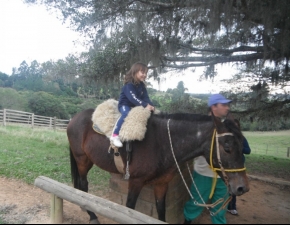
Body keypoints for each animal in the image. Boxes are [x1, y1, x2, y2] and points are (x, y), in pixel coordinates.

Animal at [67, 108, 249, 222]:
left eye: (243, 147)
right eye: (227, 148)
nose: (242, 187)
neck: (161, 142)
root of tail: (74, 118)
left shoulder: (162, 184)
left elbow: (161, 210)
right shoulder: (135, 181)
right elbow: (129, 209)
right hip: (82, 160)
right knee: (83, 183)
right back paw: (92, 215)